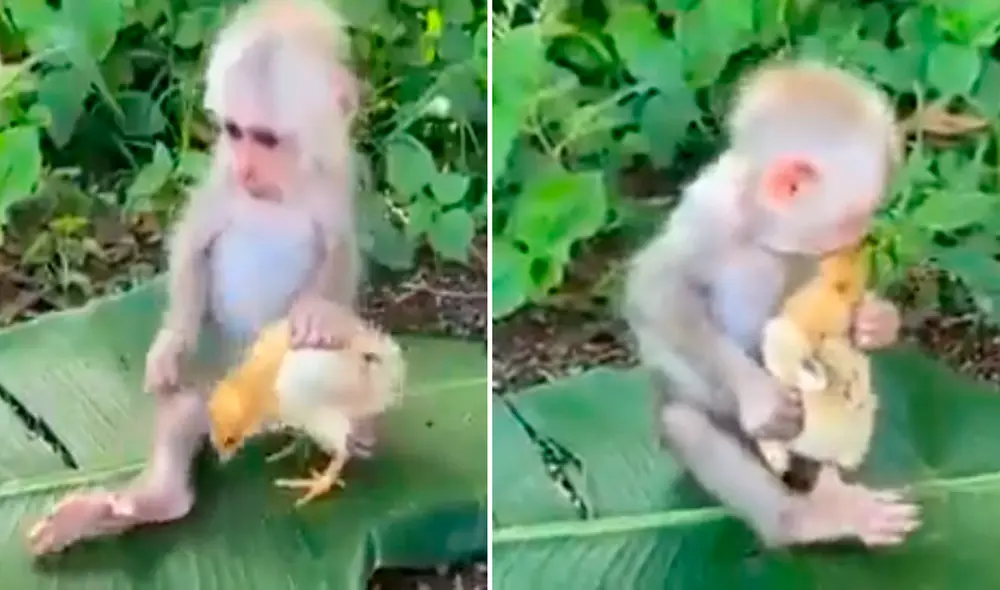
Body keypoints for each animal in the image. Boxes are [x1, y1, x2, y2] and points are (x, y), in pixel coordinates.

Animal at [26, 0, 376, 556]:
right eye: (234, 131)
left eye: (266, 138)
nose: (248, 168)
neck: (275, 192)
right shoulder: (224, 184)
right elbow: (193, 246)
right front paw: (172, 340)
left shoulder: (332, 186)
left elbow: (340, 258)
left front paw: (318, 316)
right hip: (220, 383)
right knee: (186, 400)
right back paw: (155, 499)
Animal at [622, 60, 920, 548]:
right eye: (854, 219)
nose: (861, 240)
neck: (757, 222)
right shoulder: (708, 216)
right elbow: (658, 292)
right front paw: (759, 394)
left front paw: (874, 321)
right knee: (689, 425)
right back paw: (803, 519)